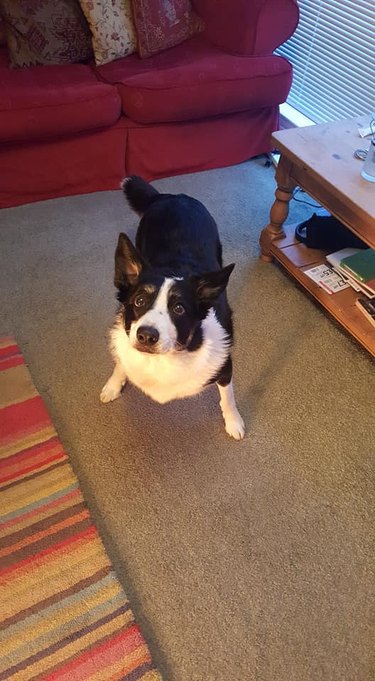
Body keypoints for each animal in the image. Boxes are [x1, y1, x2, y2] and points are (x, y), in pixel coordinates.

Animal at [101, 177, 245, 440]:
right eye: (139, 301)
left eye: (179, 308)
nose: (147, 336)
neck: (164, 360)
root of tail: (172, 196)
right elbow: (121, 362)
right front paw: (114, 385)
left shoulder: (224, 365)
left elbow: (228, 397)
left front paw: (234, 423)